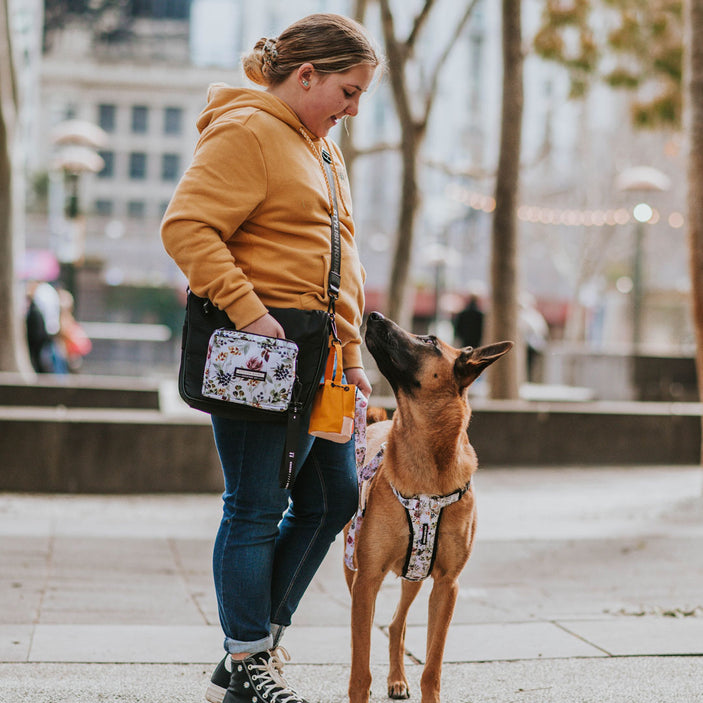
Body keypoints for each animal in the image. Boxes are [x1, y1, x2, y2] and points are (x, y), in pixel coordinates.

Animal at [346, 312, 512, 703]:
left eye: (431, 341)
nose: (373, 315)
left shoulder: (446, 586)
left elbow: (433, 664)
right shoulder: (366, 579)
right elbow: (360, 666)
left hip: (415, 574)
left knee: (396, 624)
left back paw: (397, 677)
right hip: (353, 570)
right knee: (372, 629)